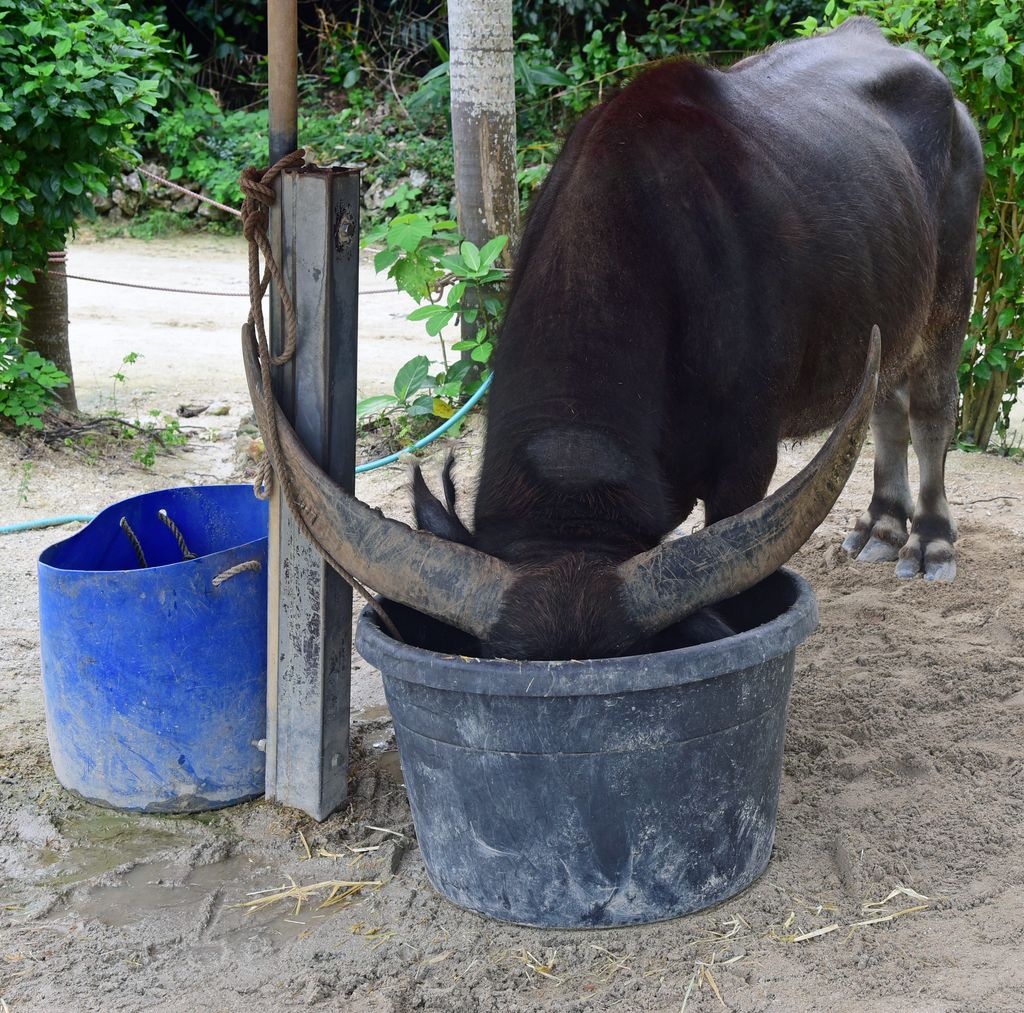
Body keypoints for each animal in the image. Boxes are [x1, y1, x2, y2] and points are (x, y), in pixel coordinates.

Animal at [245, 21, 983, 663]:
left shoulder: (747, 462)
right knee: (885, 401)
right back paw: (879, 529)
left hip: (952, 296)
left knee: (930, 407)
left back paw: (930, 543)